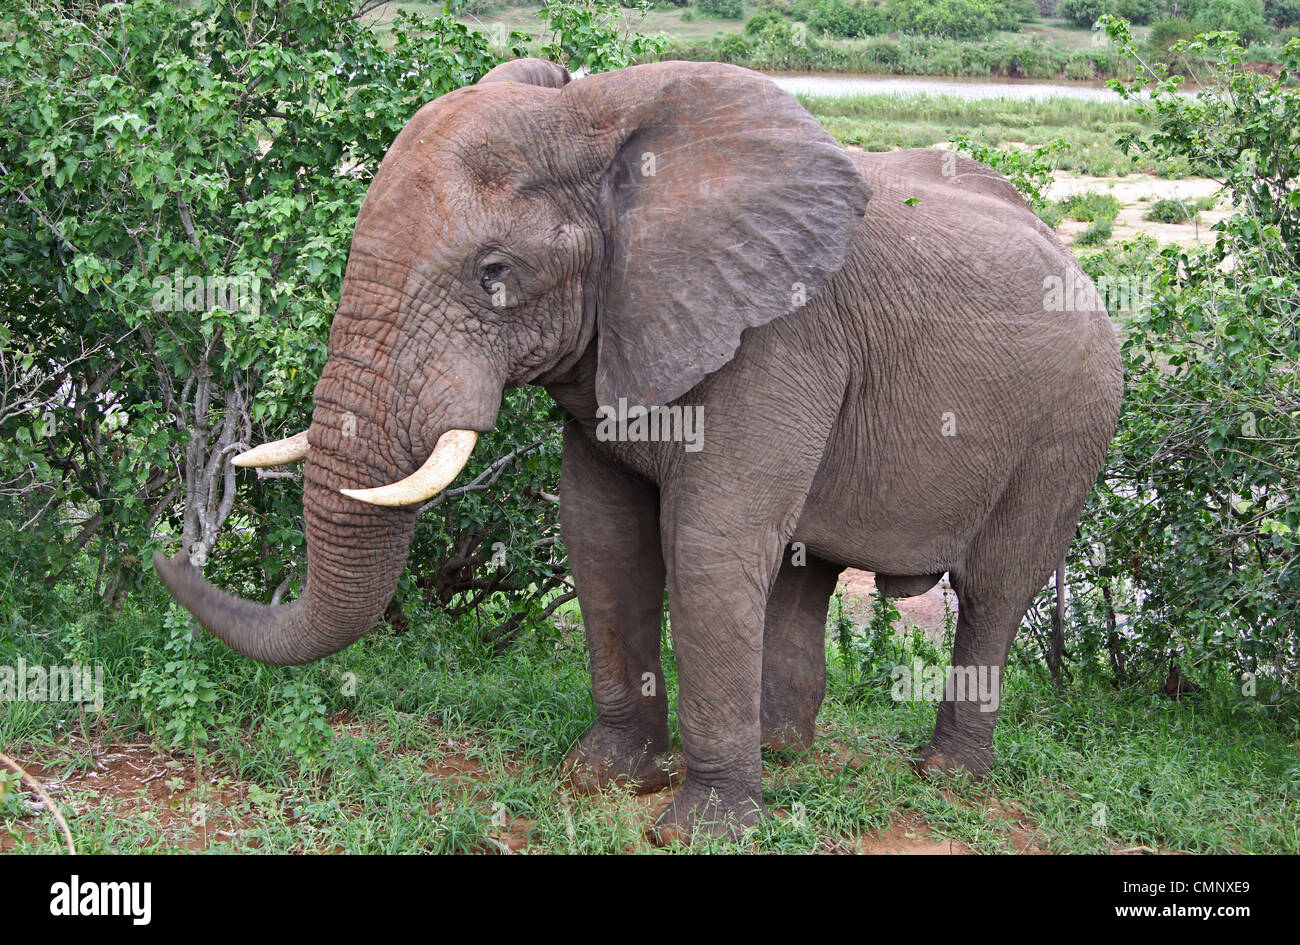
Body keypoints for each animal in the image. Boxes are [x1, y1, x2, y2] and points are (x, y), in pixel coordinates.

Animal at [154, 59, 1128, 842]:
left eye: (494, 274)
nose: (166, 553)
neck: (598, 117)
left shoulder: (778, 337)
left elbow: (705, 550)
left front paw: (701, 830)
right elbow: (603, 538)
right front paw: (603, 778)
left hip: (1074, 420)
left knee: (996, 588)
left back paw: (944, 777)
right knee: (805, 570)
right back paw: (784, 751)